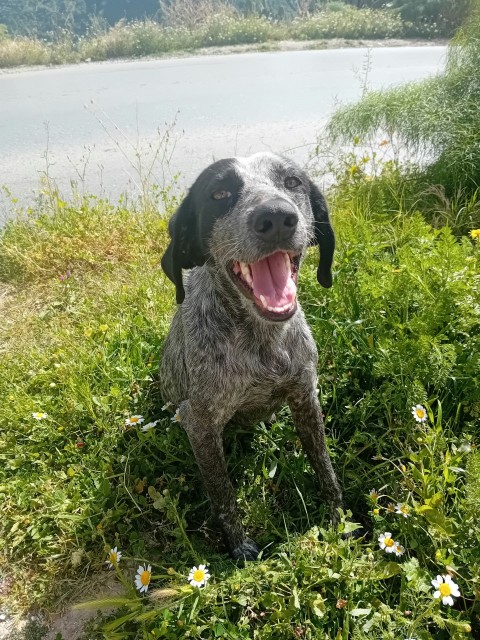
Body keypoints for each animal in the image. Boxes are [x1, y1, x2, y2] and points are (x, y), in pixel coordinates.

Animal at [159, 151, 344, 560]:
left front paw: (340, 518)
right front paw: (239, 547)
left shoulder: (305, 397)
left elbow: (324, 467)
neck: (261, 343)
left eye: (292, 182)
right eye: (219, 193)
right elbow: (223, 495)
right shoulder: (199, 423)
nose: (275, 218)